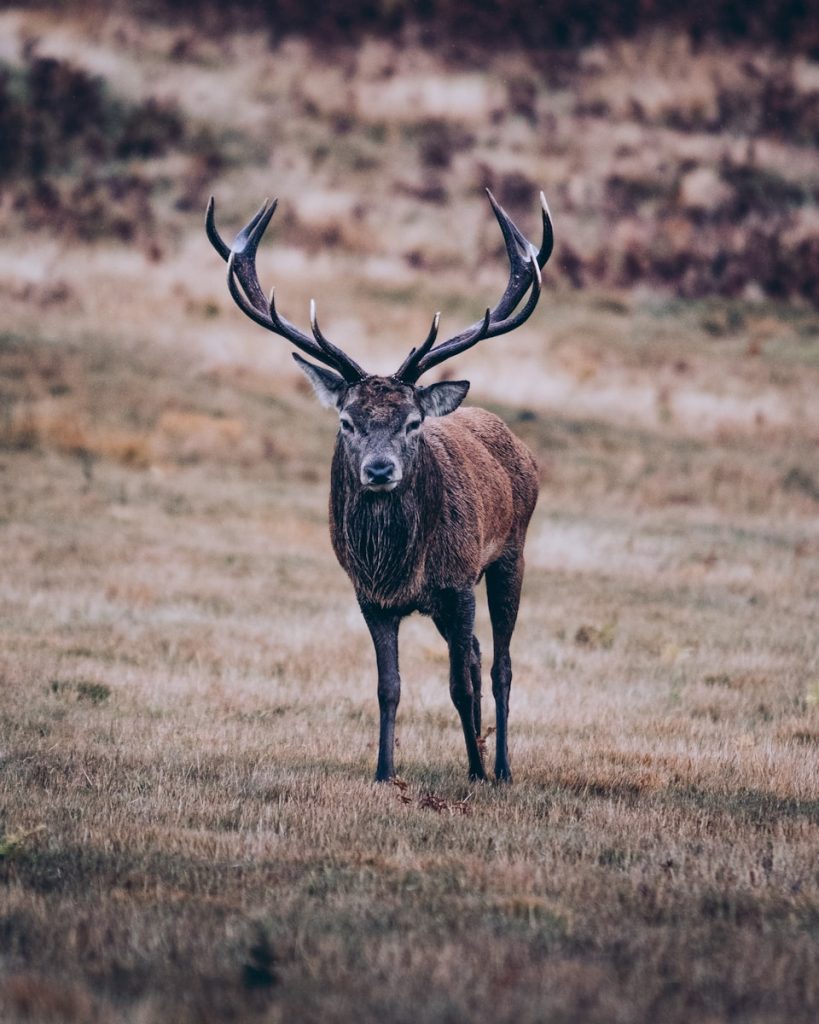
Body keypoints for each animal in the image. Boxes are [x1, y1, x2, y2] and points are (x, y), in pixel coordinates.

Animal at [204, 190, 552, 782]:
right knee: (477, 654)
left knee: (499, 664)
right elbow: (388, 687)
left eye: (412, 422)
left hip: (511, 554)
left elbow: (461, 684)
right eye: (347, 420)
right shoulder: (370, 596)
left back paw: (500, 767)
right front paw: (384, 771)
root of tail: (518, 445)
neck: (397, 565)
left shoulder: (458, 581)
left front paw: (477, 772)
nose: (380, 470)